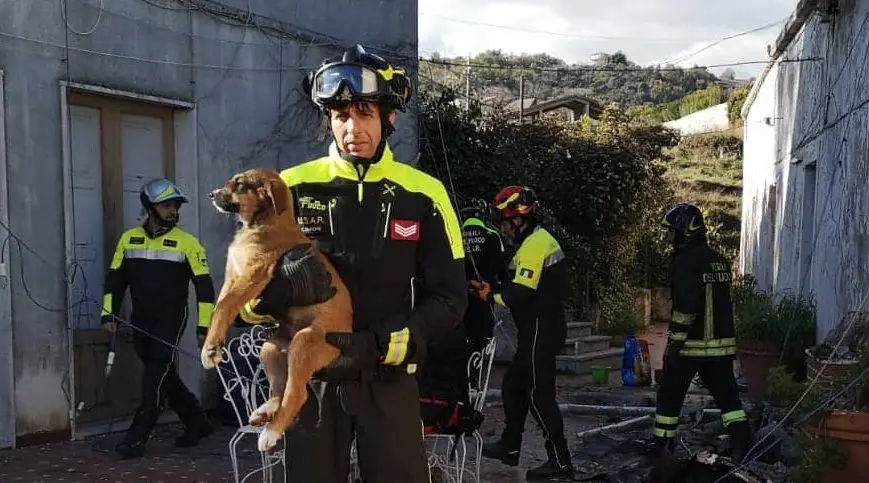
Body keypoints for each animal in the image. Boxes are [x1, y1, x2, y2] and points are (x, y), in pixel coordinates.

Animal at [202, 168, 350, 452]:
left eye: (240, 184)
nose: (211, 195)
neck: (264, 221)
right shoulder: (232, 277)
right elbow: (219, 309)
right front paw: (211, 346)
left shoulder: (251, 277)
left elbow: (224, 307)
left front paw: (210, 350)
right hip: (270, 347)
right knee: (279, 388)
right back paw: (266, 411)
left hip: (306, 341)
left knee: (296, 393)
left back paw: (271, 432)